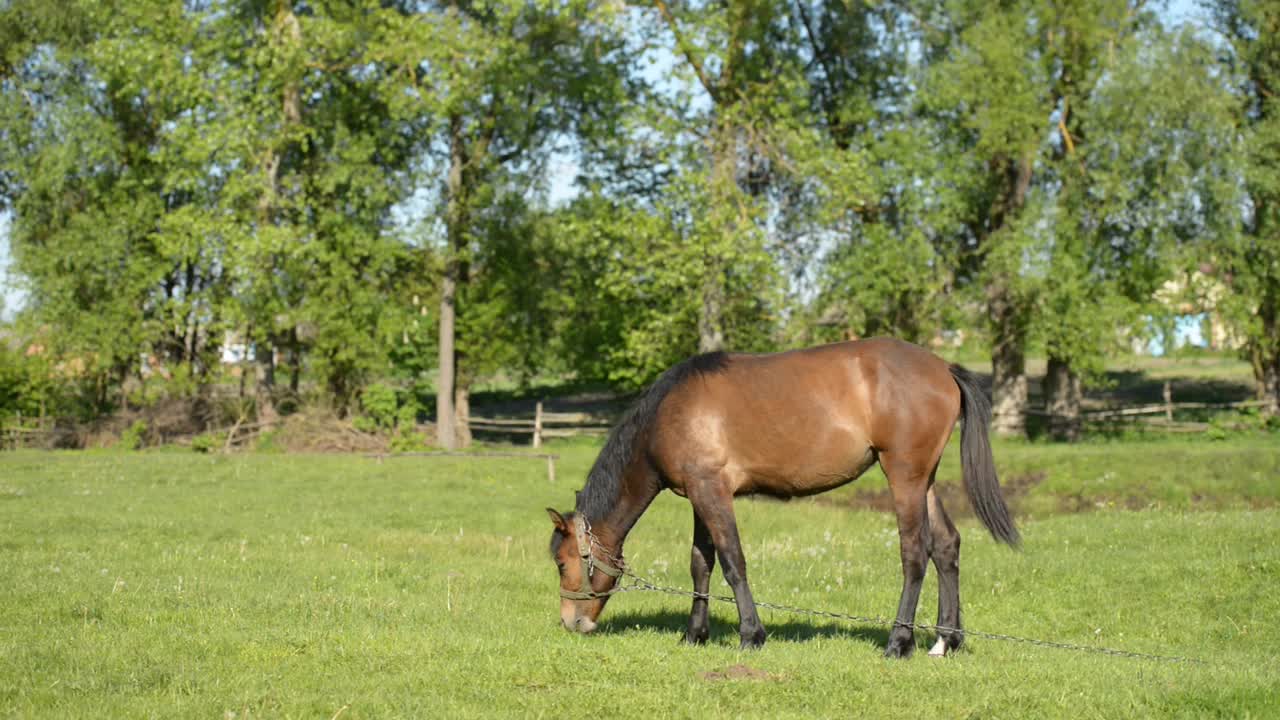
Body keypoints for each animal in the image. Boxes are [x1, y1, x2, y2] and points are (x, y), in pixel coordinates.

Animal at [542, 335, 1018, 655]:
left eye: (563, 563)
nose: (570, 622)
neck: (669, 413)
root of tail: (943, 368)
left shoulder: (713, 492)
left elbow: (733, 563)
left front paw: (751, 635)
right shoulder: (699, 494)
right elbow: (701, 565)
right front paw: (695, 634)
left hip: (904, 476)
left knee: (915, 552)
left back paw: (899, 641)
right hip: (926, 479)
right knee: (947, 545)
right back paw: (946, 641)